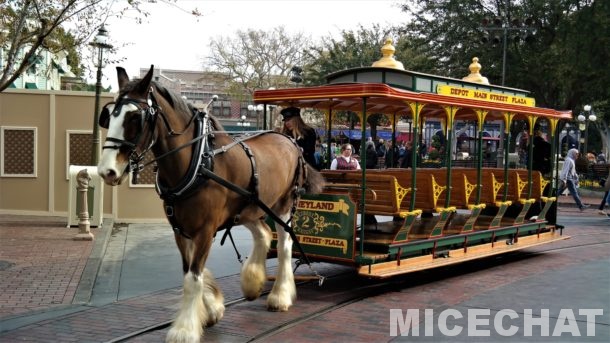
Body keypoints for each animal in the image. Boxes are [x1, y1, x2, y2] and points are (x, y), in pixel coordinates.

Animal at [97, 66, 324, 342]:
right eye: (109, 115)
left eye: (134, 118)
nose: (107, 171)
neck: (196, 162)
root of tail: (289, 141)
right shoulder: (180, 230)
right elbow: (189, 272)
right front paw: (212, 309)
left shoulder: (205, 230)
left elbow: (193, 277)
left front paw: (184, 329)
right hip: (250, 207)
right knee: (262, 233)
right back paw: (253, 282)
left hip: (283, 206)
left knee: (284, 244)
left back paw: (280, 295)